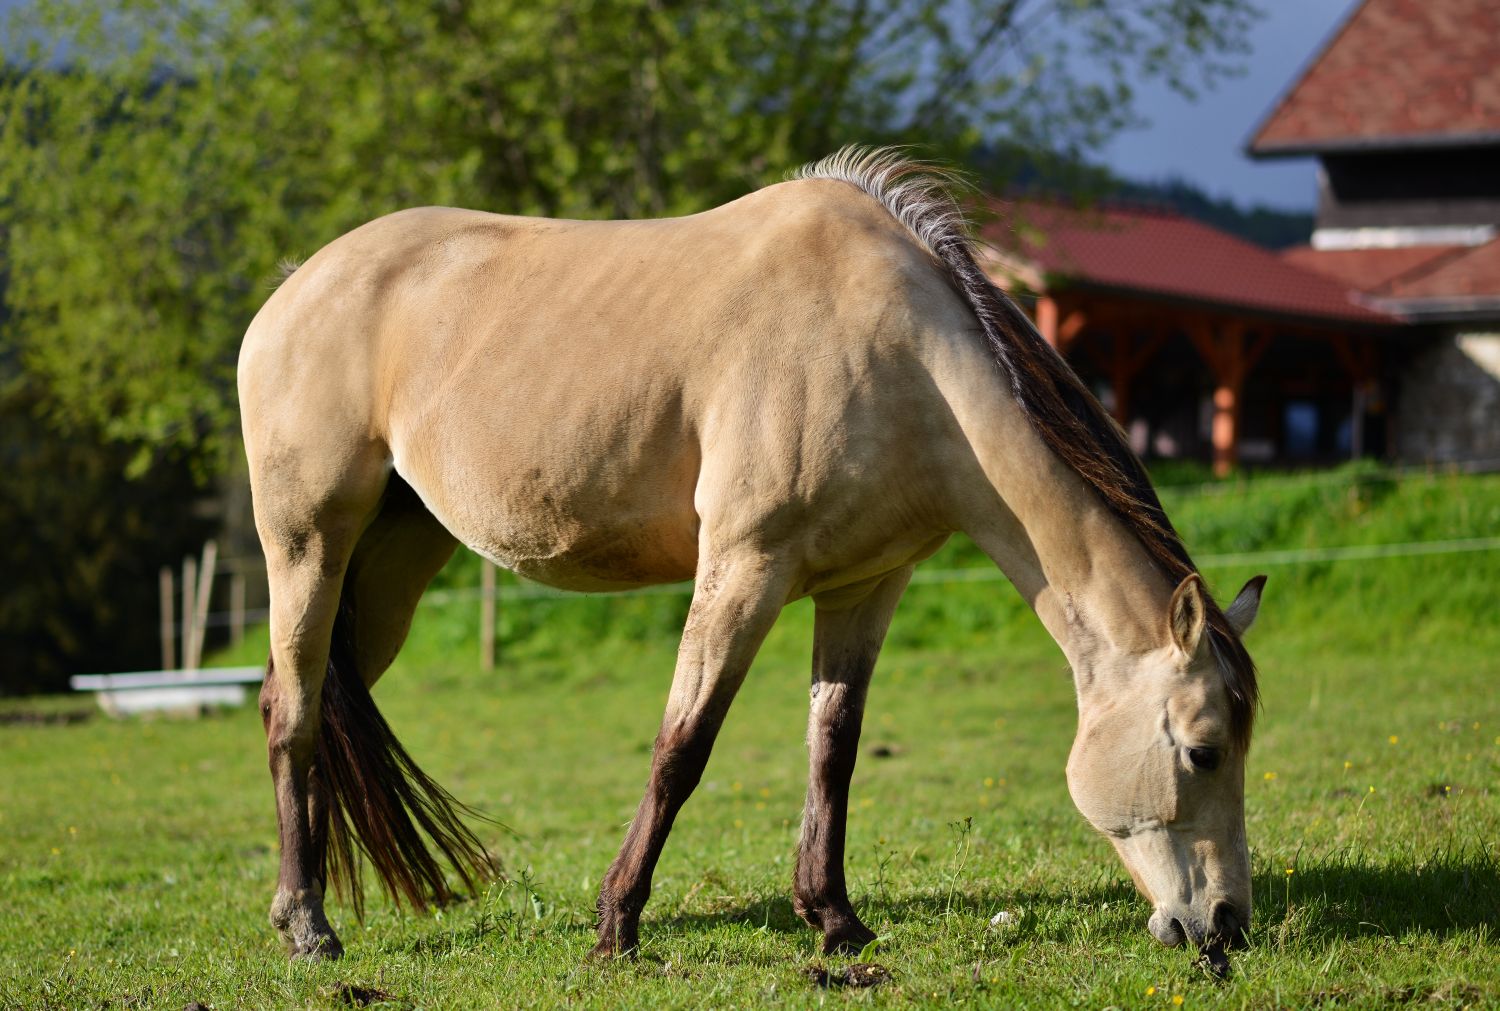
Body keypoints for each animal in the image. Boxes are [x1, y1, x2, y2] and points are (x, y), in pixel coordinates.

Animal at [238, 147, 1265, 970]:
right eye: (1204, 749)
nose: (1225, 924)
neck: (903, 355)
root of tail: (294, 287)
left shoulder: (865, 586)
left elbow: (834, 748)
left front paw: (835, 919)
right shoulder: (743, 569)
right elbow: (681, 749)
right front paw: (617, 926)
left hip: (388, 569)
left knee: (318, 709)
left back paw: (310, 906)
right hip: (308, 545)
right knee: (290, 712)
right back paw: (308, 927)